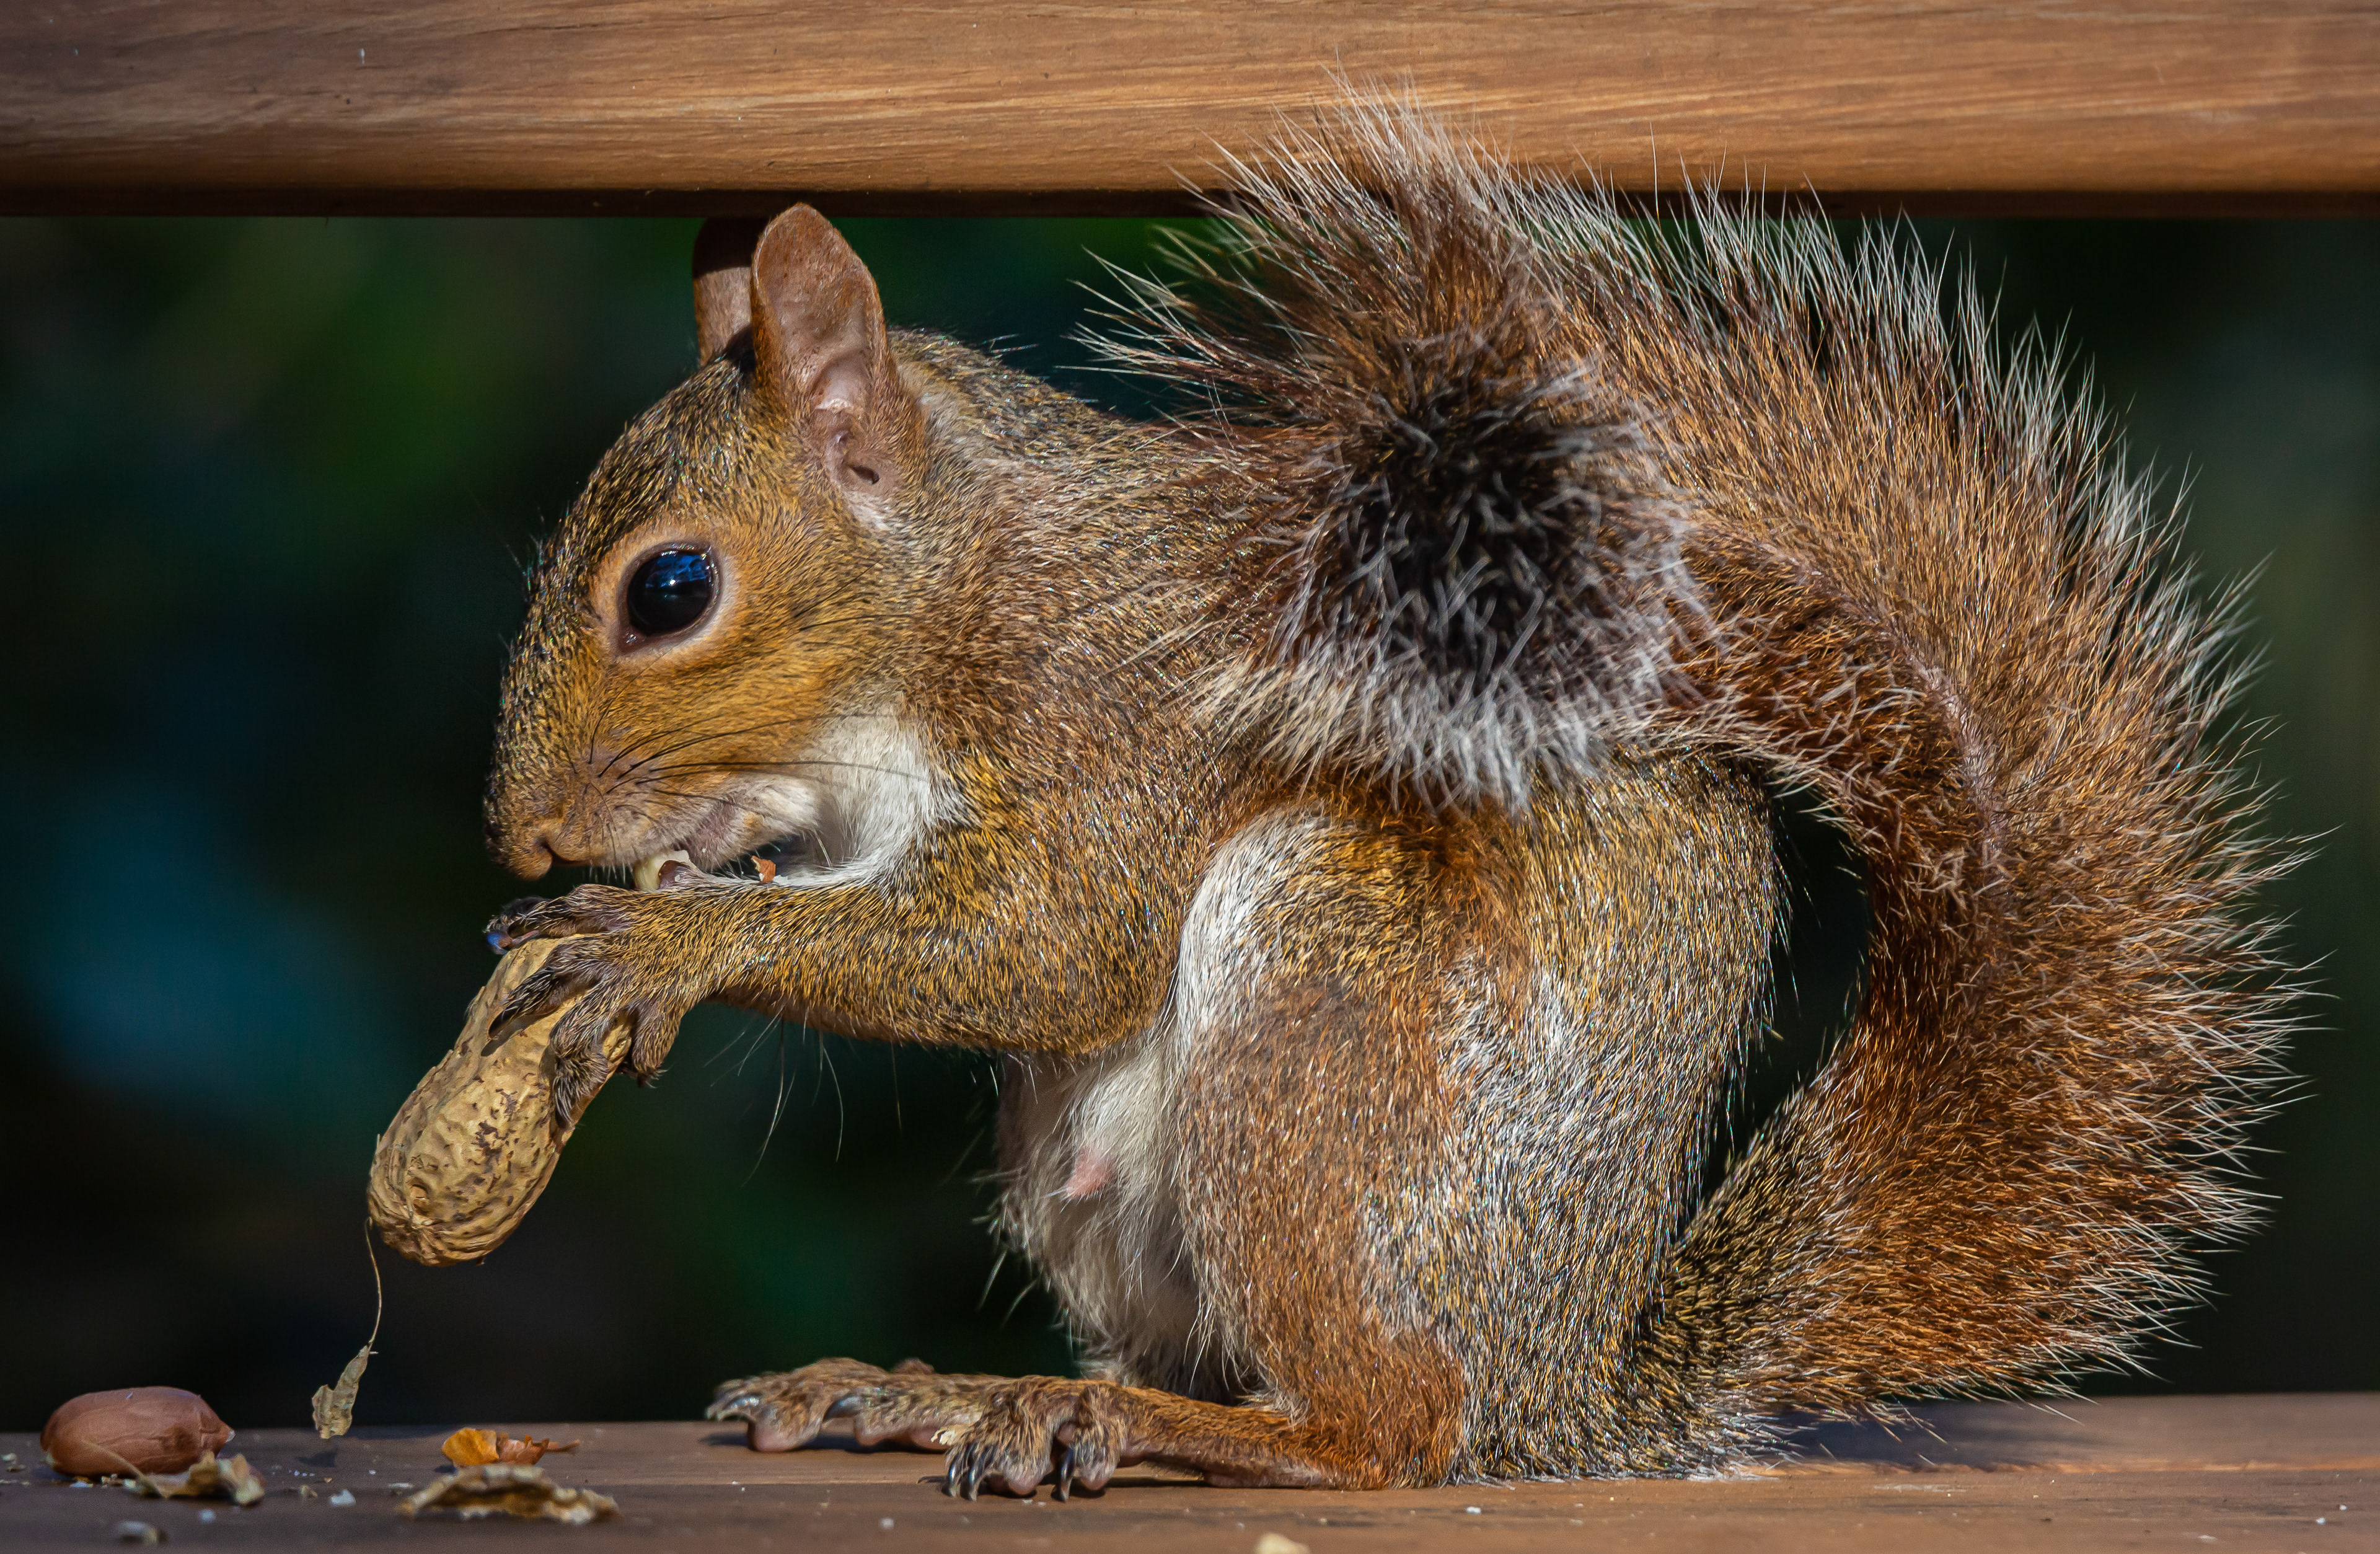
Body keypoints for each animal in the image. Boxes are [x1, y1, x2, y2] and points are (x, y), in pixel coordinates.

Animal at [479, 102, 2289, 1494]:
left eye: (671, 590)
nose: (522, 833)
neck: (951, 594)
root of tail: (1565, 1390)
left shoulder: (1121, 704)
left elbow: (1054, 941)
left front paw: (659, 947)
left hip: (1330, 988)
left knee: (1381, 1432)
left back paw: (1139, 1417)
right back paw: (944, 1388)